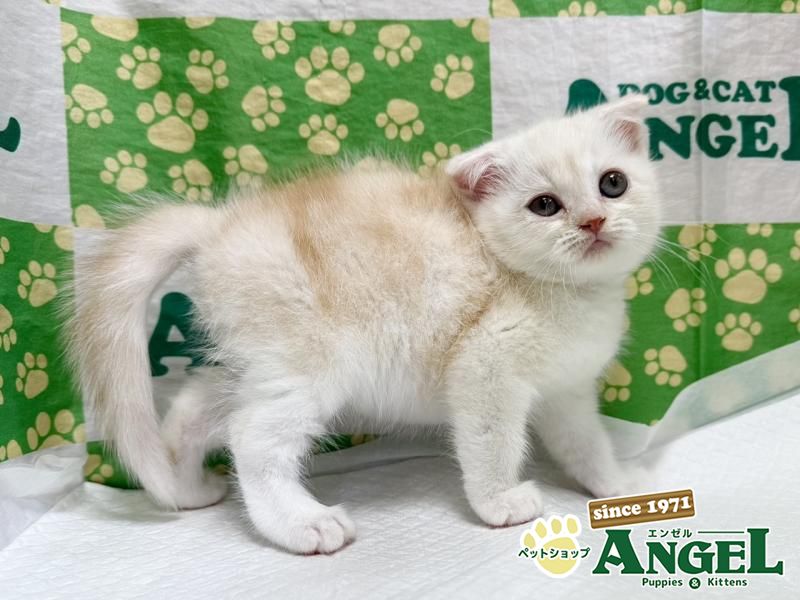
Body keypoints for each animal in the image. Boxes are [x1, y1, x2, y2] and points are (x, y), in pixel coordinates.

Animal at [67, 94, 661, 554]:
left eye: (612, 183)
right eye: (544, 205)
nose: (593, 221)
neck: (570, 295)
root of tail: (220, 225)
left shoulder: (566, 392)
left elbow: (584, 444)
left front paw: (616, 485)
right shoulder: (485, 366)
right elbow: (491, 443)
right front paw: (498, 503)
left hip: (260, 360)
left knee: (195, 408)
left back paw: (186, 488)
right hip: (308, 364)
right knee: (252, 436)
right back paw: (301, 524)